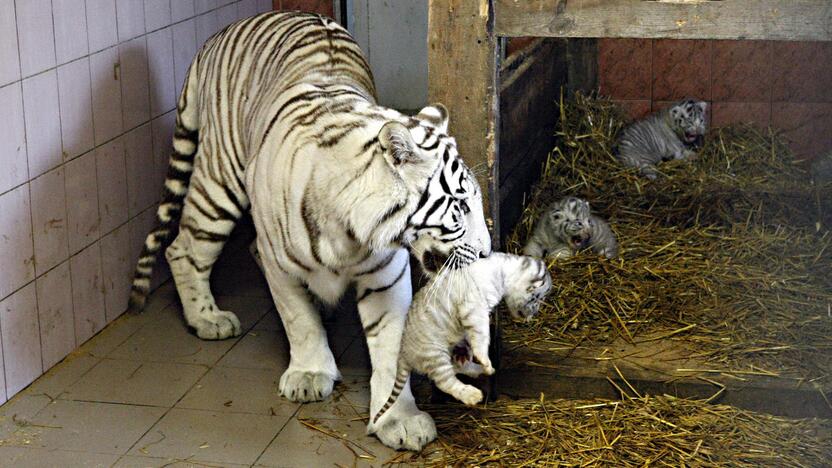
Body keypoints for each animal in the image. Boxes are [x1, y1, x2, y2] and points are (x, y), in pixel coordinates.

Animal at [127, 11, 490, 450]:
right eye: (461, 206)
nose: (488, 252)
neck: (350, 232)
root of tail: (218, 35)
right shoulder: (281, 266)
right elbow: (297, 319)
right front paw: (310, 374)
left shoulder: (387, 276)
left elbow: (391, 347)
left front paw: (399, 420)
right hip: (219, 182)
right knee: (183, 248)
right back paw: (207, 319)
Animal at [370, 254, 552, 426]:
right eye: (537, 299)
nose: (532, 315)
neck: (504, 272)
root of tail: (403, 355)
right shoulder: (473, 308)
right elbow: (481, 335)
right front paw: (484, 359)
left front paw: (477, 356)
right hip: (434, 354)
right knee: (445, 381)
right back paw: (473, 393)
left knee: (457, 367)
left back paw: (481, 369)